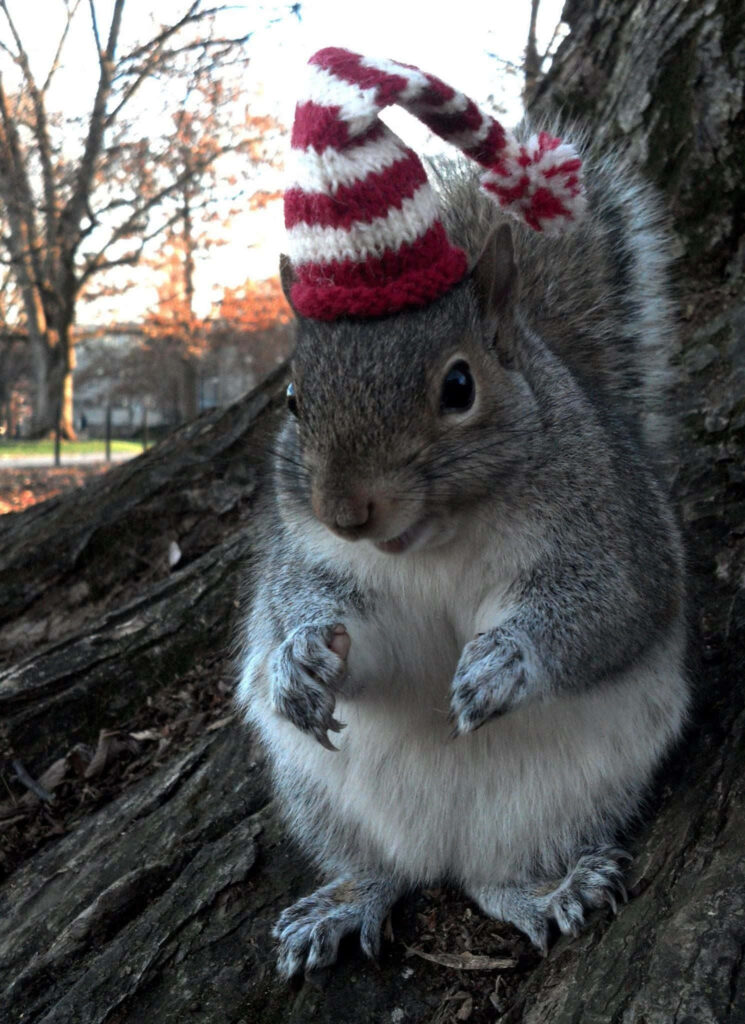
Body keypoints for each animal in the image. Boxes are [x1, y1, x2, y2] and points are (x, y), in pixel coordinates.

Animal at [236, 48, 690, 977]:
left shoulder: (609, 533)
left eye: (458, 386)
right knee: (380, 869)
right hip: (317, 793)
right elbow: (328, 624)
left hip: (581, 790)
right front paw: (299, 662)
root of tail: (440, 850)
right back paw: (343, 902)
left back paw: (548, 891)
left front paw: (504, 662)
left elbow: (605, 608)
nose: (346, 511)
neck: (432, 543)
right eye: (294, 400)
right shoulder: (314, 559)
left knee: (495, 879)